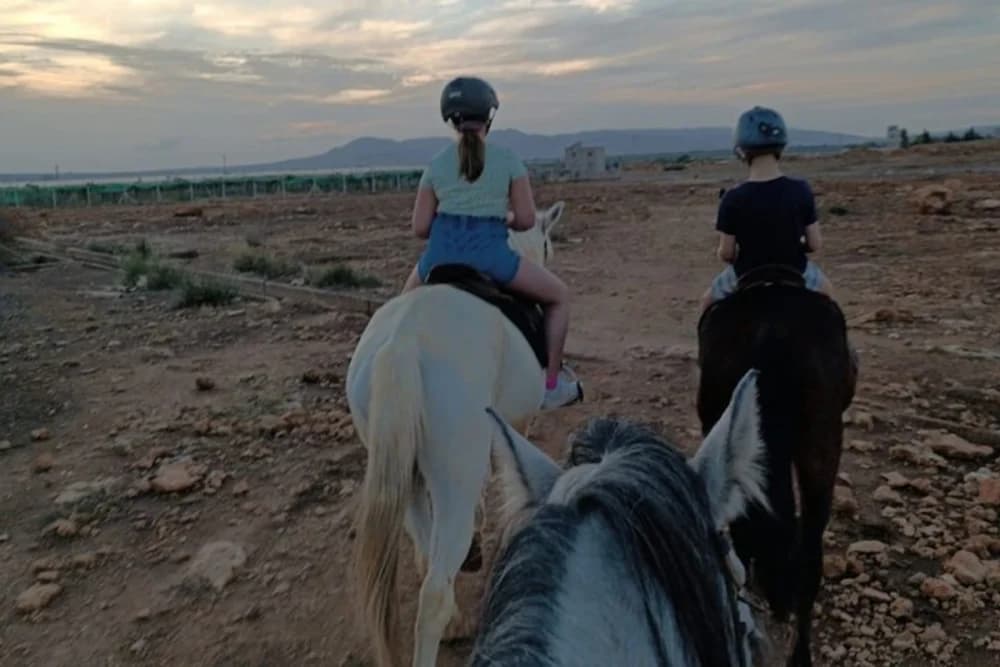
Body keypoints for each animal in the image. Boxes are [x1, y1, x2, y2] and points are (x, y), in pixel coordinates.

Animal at [346, 201, 572, 667]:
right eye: (547, 241)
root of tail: (404, 340)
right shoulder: (517, 421)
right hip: (453, 478)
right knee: (433, 593)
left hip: (405, 471)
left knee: (423, 550)